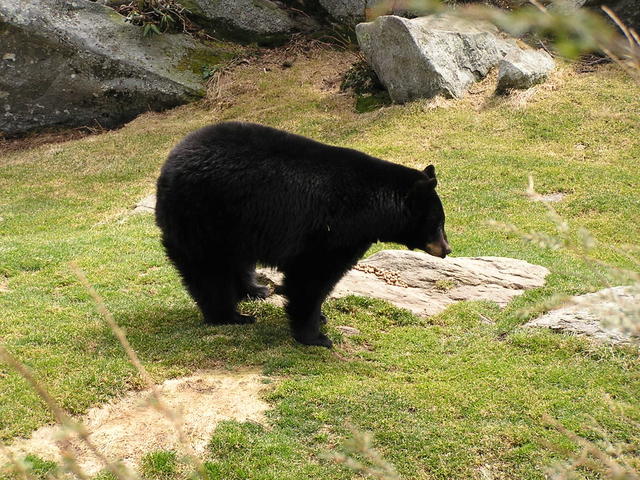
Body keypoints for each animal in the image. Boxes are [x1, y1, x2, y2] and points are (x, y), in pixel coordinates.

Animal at [155, 122, 450, 346]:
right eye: (437, 223)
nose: (447, 249)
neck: (371, 206)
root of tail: (169, 164)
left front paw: (320, 319)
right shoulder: (329, 230)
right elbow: (311, 275)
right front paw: (315, 336)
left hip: (236, 224)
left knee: (235, 260)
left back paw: (256, 290)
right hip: (203, 215)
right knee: (208, 269)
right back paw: (230, 315)